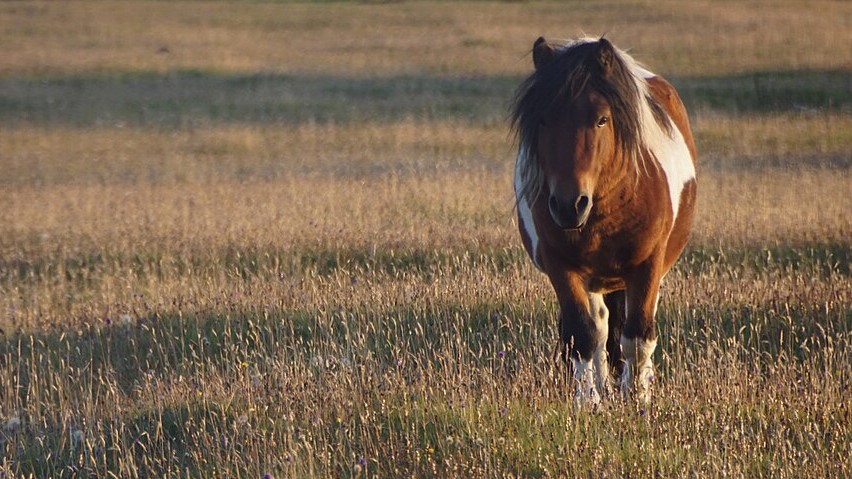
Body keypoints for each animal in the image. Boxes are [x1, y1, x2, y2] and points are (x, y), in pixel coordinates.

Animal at [511, 37, 697, 406]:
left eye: (601, 119)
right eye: (542, 120)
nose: (568, 205)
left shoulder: (647, 265)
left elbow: (637, 336)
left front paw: (637, 401)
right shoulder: (562, 266)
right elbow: (583, 335)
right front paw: (589, 402)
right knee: (599, 327)